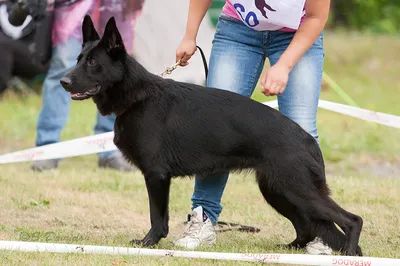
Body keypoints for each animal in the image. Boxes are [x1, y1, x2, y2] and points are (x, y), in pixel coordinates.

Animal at [60, 16, 362, 256]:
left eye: (93, 62)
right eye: (78, 60)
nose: (63, 81)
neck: (137, 96)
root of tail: (307, 139)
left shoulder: (156, 176)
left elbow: (157, 217)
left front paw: (149, 243)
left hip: (296, 189)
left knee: (351, 219)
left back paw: (348, 252)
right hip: (278, 191)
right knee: (307, 226)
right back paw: (294, 248)